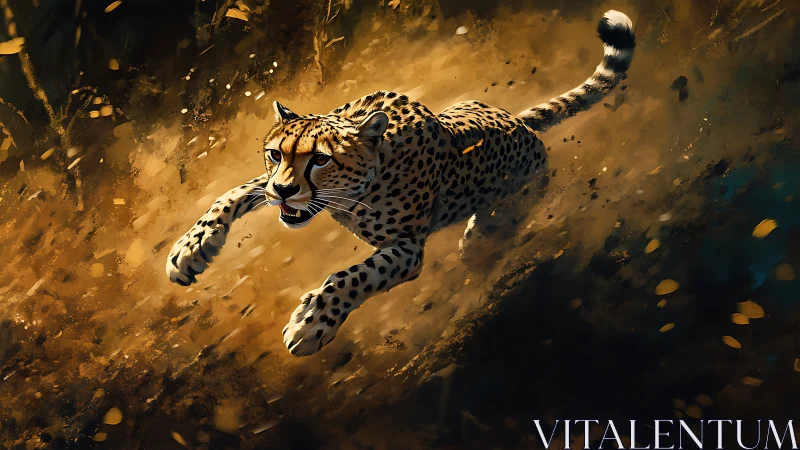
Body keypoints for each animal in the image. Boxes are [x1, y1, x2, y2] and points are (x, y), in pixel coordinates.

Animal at [166, 10, 636, 356]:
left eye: (320, 160)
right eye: (275, 154)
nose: (283, 191)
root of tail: (519, 121)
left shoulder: (407, 249)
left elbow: (350, 278)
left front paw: (310, 323)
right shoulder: (271, 187)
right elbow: (228, 195)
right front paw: (190, 250)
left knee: (486, 238)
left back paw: (480, 242)